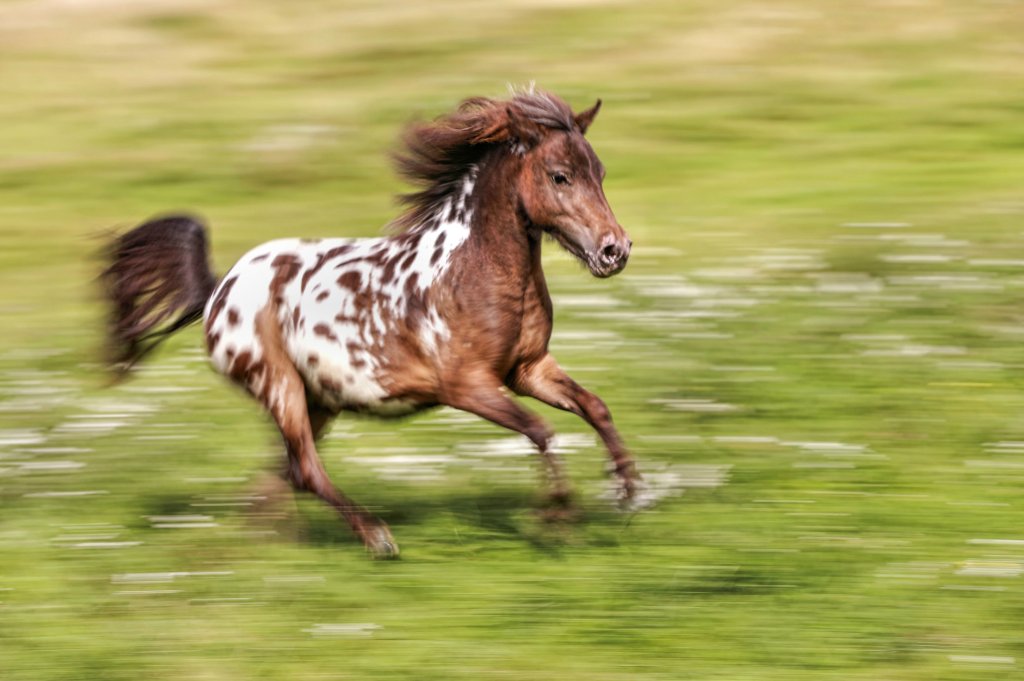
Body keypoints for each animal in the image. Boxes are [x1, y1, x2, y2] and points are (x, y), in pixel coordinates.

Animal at [99, 89, 634, 557]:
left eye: (601, 172)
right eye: (560, 176)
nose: (615, 250)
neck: (470, 271)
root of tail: (219, 289)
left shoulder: (528, 369)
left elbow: (595, 407)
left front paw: (630, 489)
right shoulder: (468, 387)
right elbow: (542, 431)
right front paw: (557, 515)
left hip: (319, 400)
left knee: (286, 471)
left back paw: (277, 539)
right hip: (280, 387)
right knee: (306, 469)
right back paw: (375, 537)